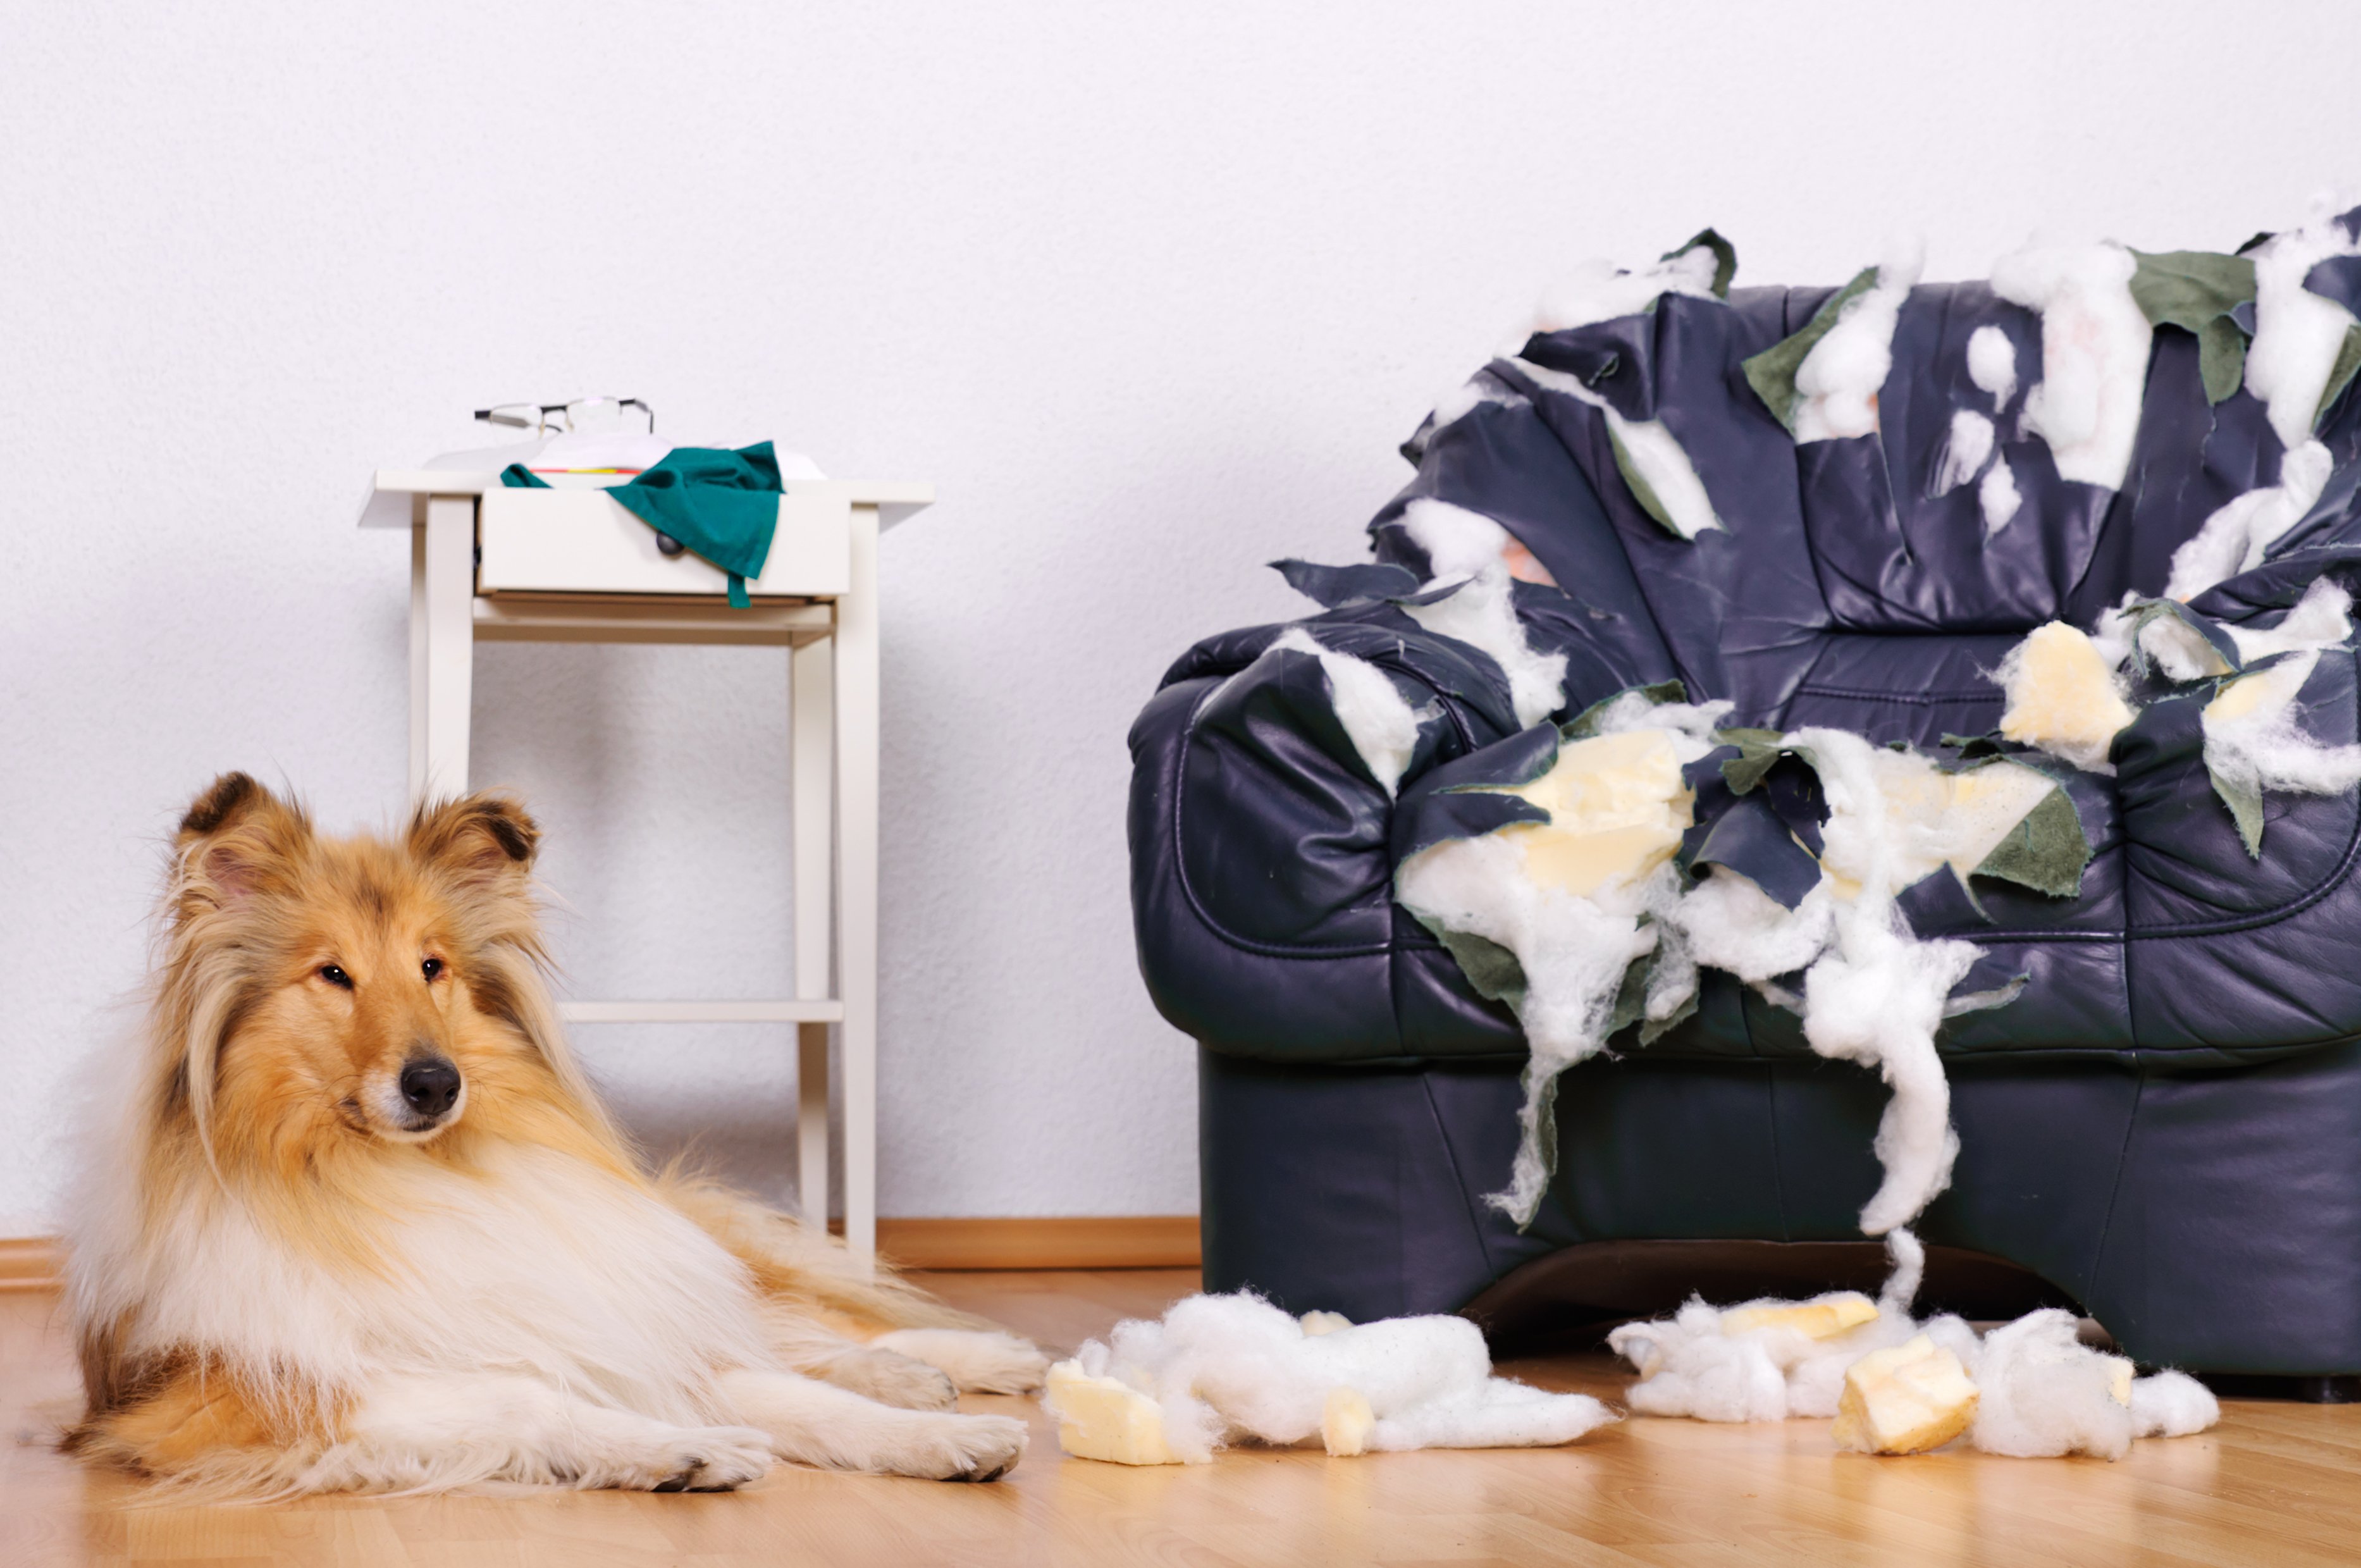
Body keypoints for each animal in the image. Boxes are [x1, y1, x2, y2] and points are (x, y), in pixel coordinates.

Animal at [66, 770, 1043, 1492]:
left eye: (433, 966)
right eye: (333, 974)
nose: (436, 1083)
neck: (392, 1179)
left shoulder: (609, 1320)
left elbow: (790, 1392)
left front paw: (943, 1436)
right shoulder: (252, 1394)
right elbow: (526, 1399)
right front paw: (682, 1447)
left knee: (798, 1322)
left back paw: (976, 1362)